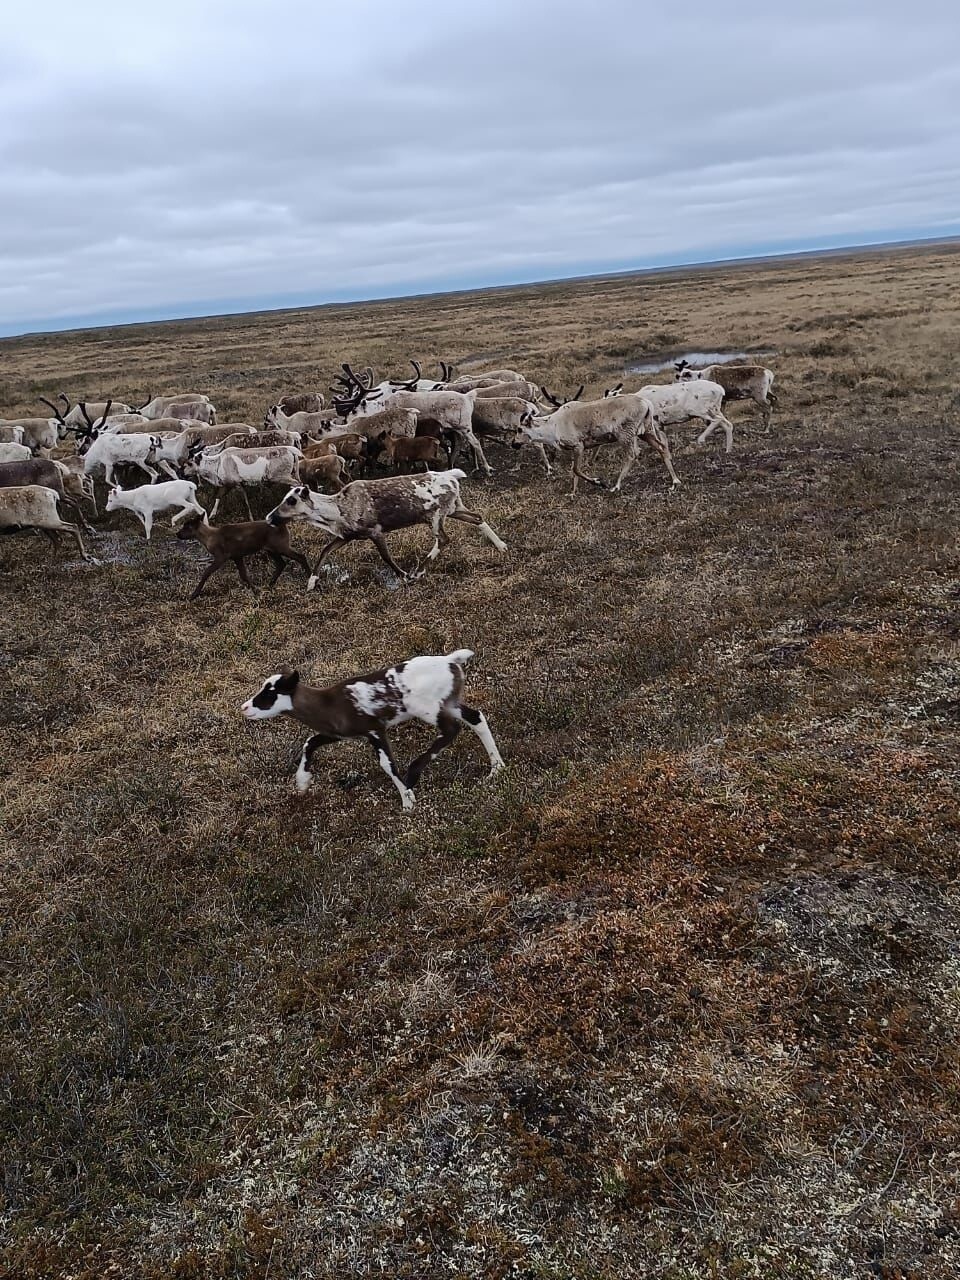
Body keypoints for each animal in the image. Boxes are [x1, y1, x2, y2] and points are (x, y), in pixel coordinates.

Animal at [174, 514, 308, 599]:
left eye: (187, 527)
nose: (177, 534)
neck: (208, 538)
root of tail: (284, 525)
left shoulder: (221, 556)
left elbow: (206, 572)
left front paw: (193, 595)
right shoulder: (237, 556)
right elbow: (243, 575)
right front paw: (256, 591)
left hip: (280, 547)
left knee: (301, 556)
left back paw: (309, 578)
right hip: (271, 549)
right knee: (281, 564)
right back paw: (269, 584)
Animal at [240, 650, 506, 808]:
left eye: (270, 694)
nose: (244, 707)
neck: (329, 703)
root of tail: (450, 661)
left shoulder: (375, 729)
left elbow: (386, 763)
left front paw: (407, 801)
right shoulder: (342, 732)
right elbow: (310, 742)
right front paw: (303, 782)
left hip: (425, 706)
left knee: (451, 729)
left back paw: (414, 773)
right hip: (449, 701)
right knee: (476, 718)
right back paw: (496, 768)